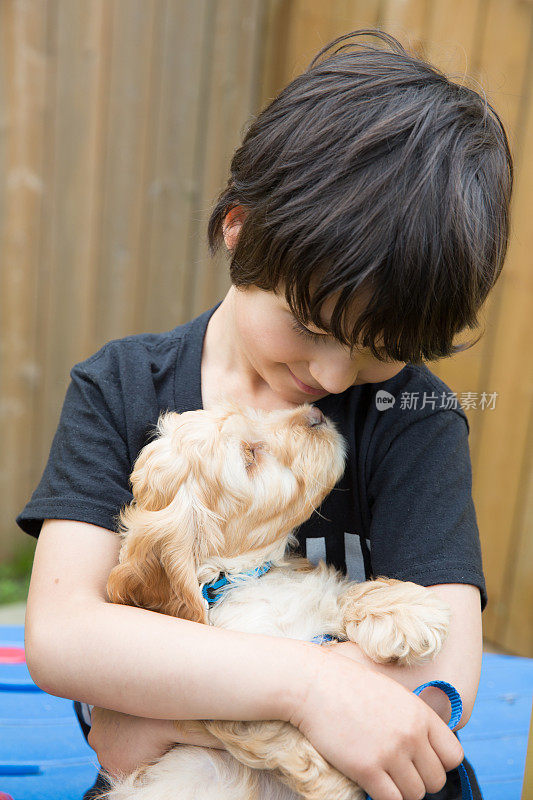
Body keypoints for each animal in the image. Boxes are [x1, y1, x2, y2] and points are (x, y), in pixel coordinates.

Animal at [94, 400, 448, 800]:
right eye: (249, 456)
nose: (315, 415)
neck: (246, 578)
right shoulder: (223, 683)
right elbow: (274, 723)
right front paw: (339, 780)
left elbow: (343, 592)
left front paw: (408, 613)